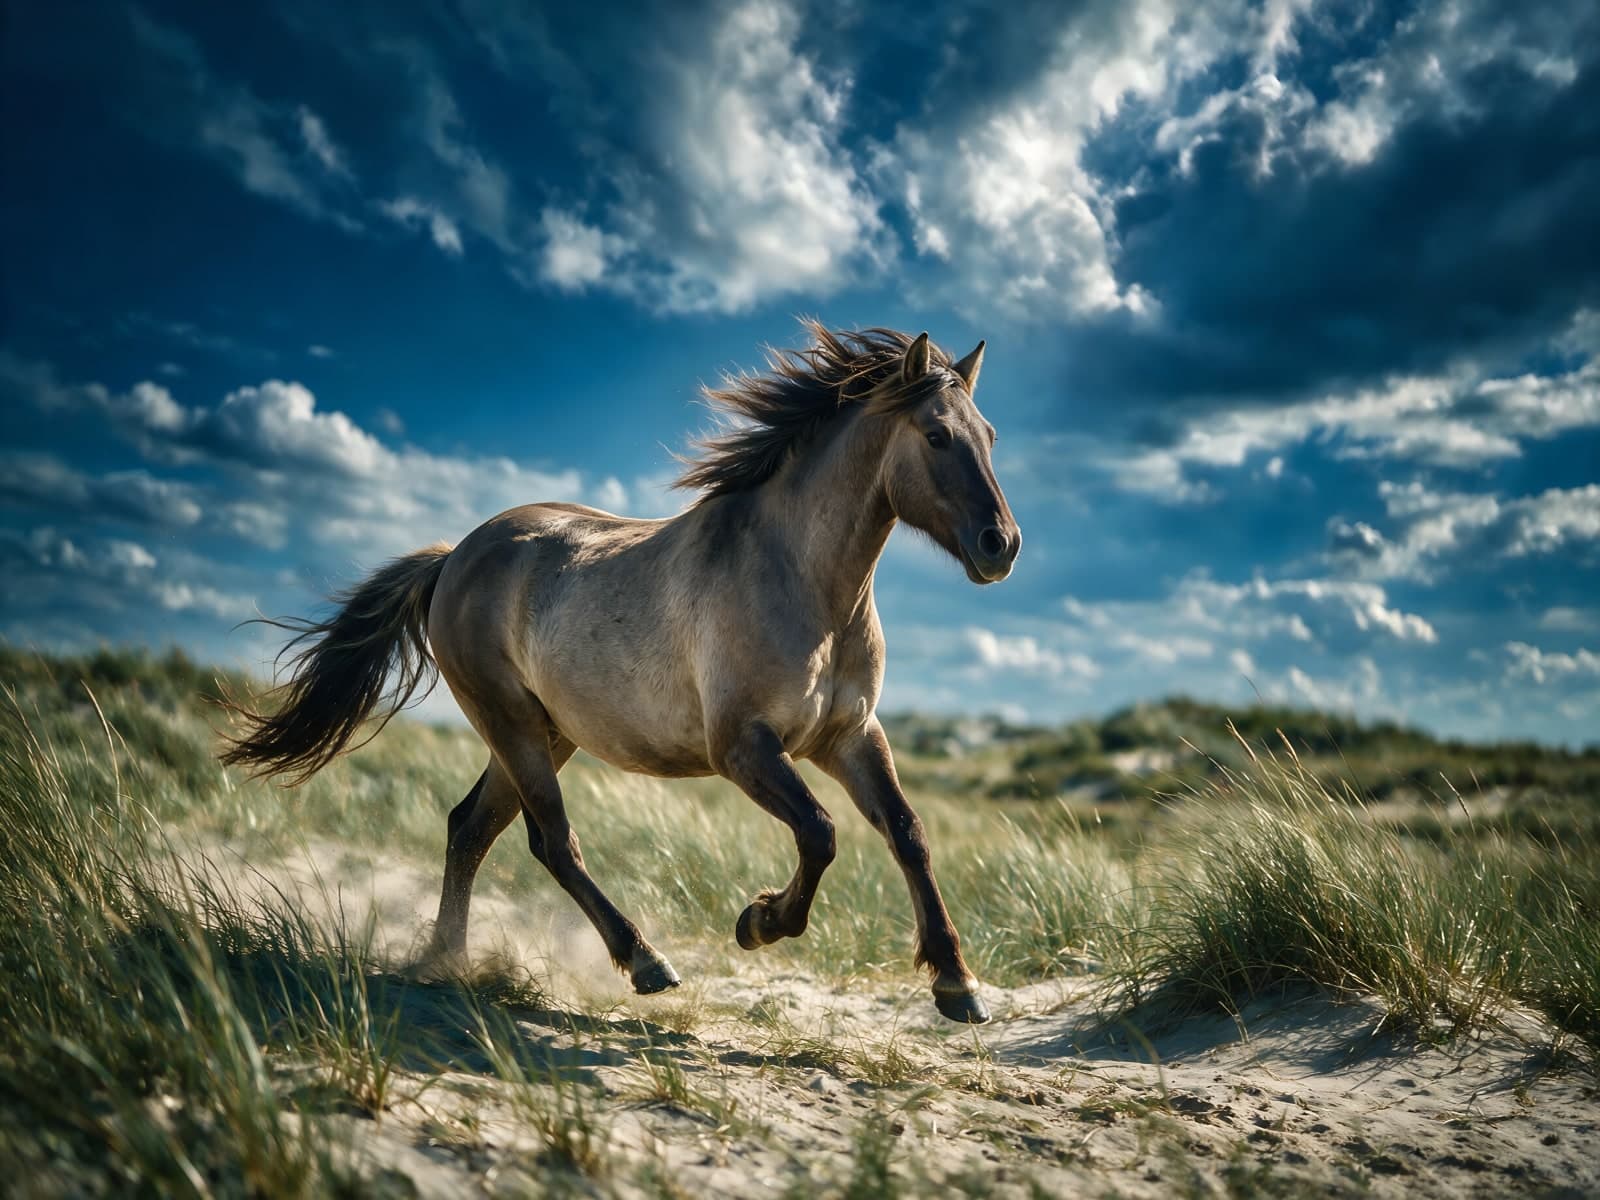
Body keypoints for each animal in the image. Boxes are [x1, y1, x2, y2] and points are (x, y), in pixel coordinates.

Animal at [222, 322, 1021, 1023]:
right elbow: (820, 834)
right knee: (551, 841)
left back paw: (447, 960)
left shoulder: (851, 736)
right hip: (512, 724)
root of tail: (454, 557)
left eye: (989, 436)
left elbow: (908, 832)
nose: (1002, 546)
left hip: (546, 734)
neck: (807, 585)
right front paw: (758, 922)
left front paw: (957, 983)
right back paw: (643, 960)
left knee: (468, 829)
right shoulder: (743, 747)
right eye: (936, 435)